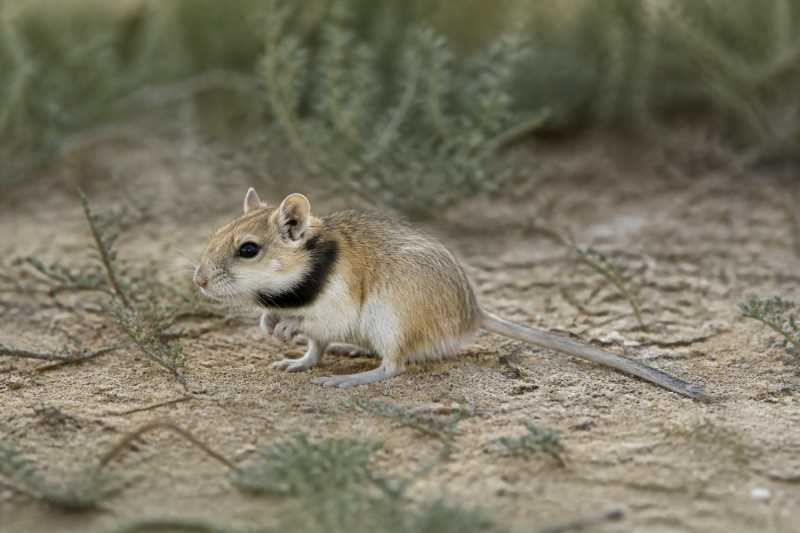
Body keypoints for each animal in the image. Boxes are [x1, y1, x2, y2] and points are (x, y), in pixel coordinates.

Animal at [193, 188, 707, 399]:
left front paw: (281, 325)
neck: (310, 269)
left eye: (248, 249)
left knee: (392, 367)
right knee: (317, 354)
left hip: (390, 321)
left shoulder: (331, 309)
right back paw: (304, 362)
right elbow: (294, 326)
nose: (197, 280)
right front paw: (270, 325)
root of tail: (474, 315)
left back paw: (347, 379)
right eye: (215, 233)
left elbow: (308, 321)